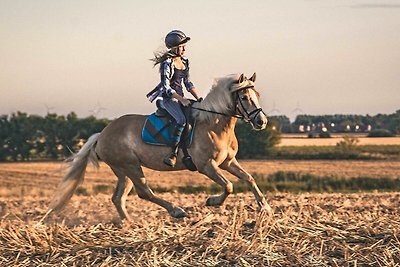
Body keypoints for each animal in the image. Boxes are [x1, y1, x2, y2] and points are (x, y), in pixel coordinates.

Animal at [47, 72, 272, 221]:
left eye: (258, 95)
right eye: (245, 97)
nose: (261, 122)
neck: (214, 124)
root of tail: (101, 135)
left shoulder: (228, 162)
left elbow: (249, 178)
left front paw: (265, 208)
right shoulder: (206, 166)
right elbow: (228, 186)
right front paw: (212, 202)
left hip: (123, 170)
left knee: (118, 197)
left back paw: (128, 223)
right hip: (130, 166)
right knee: (144, 192)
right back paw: (176, 211)